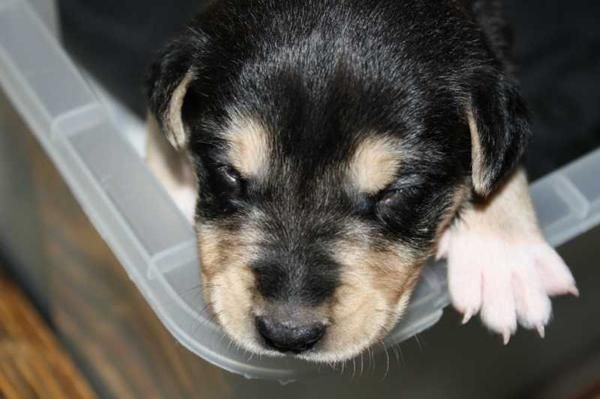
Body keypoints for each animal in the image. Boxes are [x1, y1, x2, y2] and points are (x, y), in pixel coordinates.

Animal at [144, 0, 576, 362]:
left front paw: (505, 258)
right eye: (229, 172)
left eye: (394, 193)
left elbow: (498, 170)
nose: (287, 334)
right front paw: (170, 176)